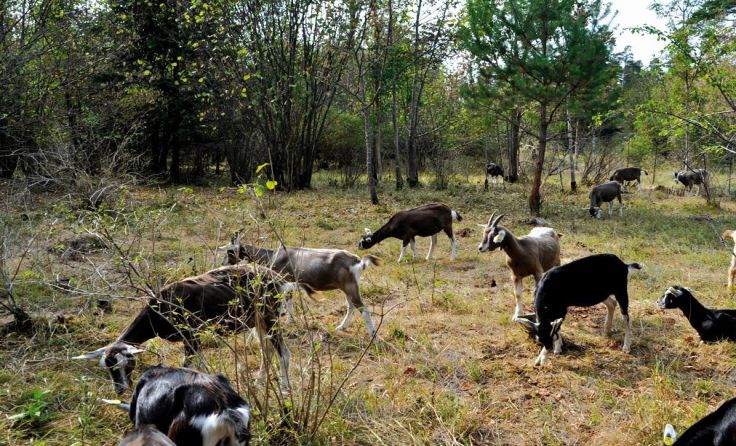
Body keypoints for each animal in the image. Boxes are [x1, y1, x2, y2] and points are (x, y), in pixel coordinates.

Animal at [73, 264, 296, 393]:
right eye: (106, 367)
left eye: (126, 364)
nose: (119, 390)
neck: (160, 310)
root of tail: (279, 279)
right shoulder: (193, 338)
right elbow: (201, 366)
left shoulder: (190, 334)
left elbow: (189, 366)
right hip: (257, 322)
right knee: (266, 351)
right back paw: (259, 382)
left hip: (269, 318)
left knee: (283, 352)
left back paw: (285, 388)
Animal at [219, 237, 381, 337]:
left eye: (230, 252)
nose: (223, 264)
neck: (272, 256)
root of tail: (359, 261)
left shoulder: (285, 281)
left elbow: (288, 301)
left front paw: (288, 320)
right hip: (348, 288)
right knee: (351, 306)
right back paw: (342, 327)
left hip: (350, 287)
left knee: (363, 308)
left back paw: (373, 335)